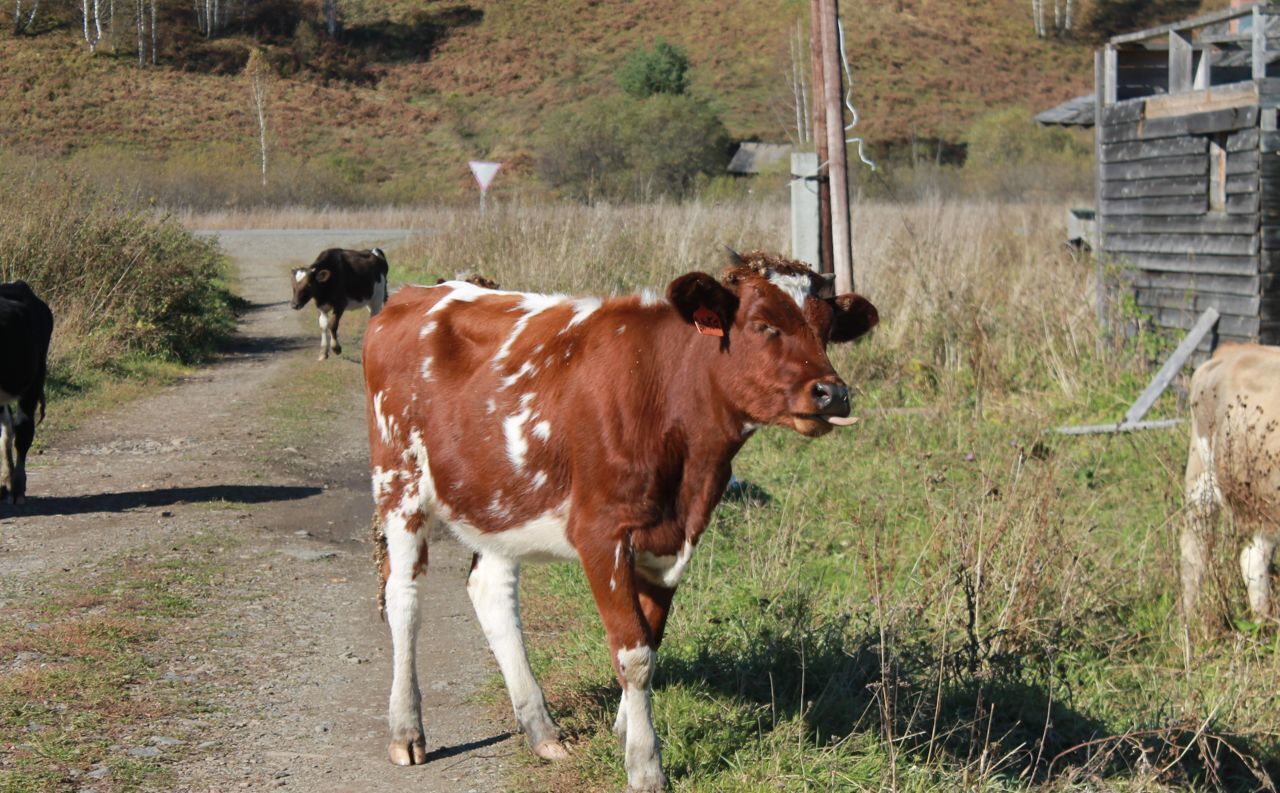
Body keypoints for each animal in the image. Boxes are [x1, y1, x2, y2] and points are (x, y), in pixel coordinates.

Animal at [366, 250, 875, 787]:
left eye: (827, 329)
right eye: (762, 325)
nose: (832, 393)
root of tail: (422, 291)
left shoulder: (674, 536)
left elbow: (649, 639)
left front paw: (626, 726)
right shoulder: (600, 533)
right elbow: (633, 654)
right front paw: (645, 764)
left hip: (500, 499)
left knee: (492, 591)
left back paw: (541, 729)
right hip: (398, 479)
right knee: (403, 598)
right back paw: (406, 729)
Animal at [1177, 342, 1280, 621]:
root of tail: (1230, 349)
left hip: (1264, 500)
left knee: (1252, 559)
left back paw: (1262, 624)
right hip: (1201, 478)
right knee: (1194, 555)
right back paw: (1190, 626)